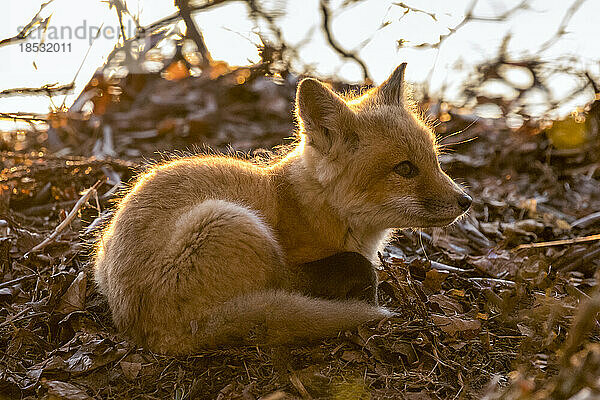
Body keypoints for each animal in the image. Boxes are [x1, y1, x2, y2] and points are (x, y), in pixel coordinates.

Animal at [94, 64, 472, 354]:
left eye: (435, 161)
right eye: (405, 169)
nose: (466, 201)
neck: (310, 206)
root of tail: (145, 331)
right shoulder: (295, 267)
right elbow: (359, 269)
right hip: (230, 222)